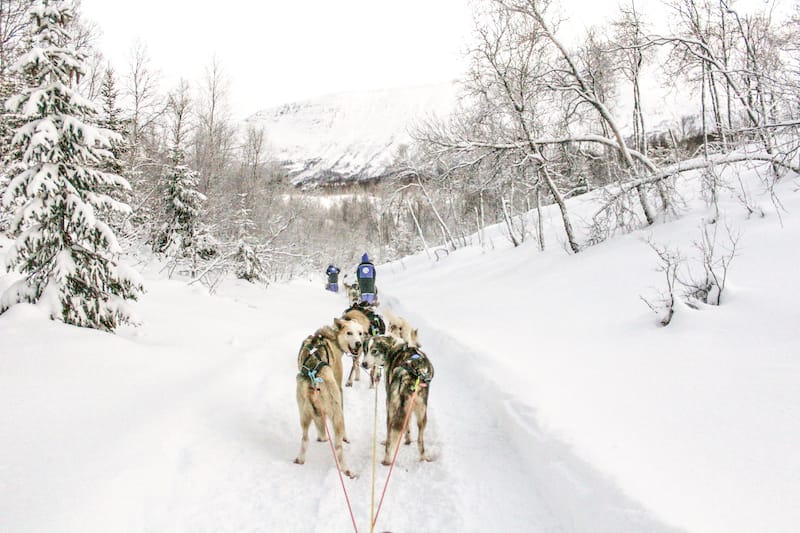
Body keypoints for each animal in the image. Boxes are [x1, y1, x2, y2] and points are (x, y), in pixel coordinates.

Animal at [294, 316, 366, 478]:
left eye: (360, 333)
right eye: (349, 333)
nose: (359, 344)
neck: (332, 337)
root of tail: (313, 376)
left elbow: (320, 424)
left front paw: (321, 437)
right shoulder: (339, 390)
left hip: (304, 414)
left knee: (305, 438)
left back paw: (301, 458)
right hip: (337, 414)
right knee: (338, 447)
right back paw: (347, 470)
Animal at [364, 334, 438, 464]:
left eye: (374, 351)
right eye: (366, 350)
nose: (363, 364)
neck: (394, 346)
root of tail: (408, 376)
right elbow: (407, 424)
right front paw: (408, 440)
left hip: (391, 410)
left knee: (390, 438)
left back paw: (387, 459)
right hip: (422, 415)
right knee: (420, 441)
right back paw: (423, 457)